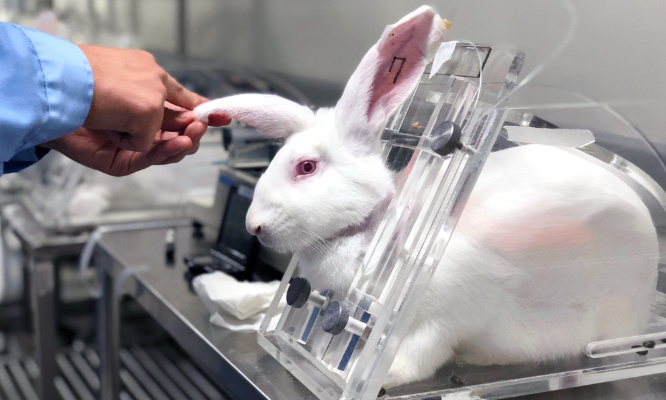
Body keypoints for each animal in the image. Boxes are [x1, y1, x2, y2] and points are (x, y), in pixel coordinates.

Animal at [195, 5, 656, 388]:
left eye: (306, 167)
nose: (254, 226)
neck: (375, 228)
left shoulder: (446, 316)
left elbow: (418, 355)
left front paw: (381, 376)